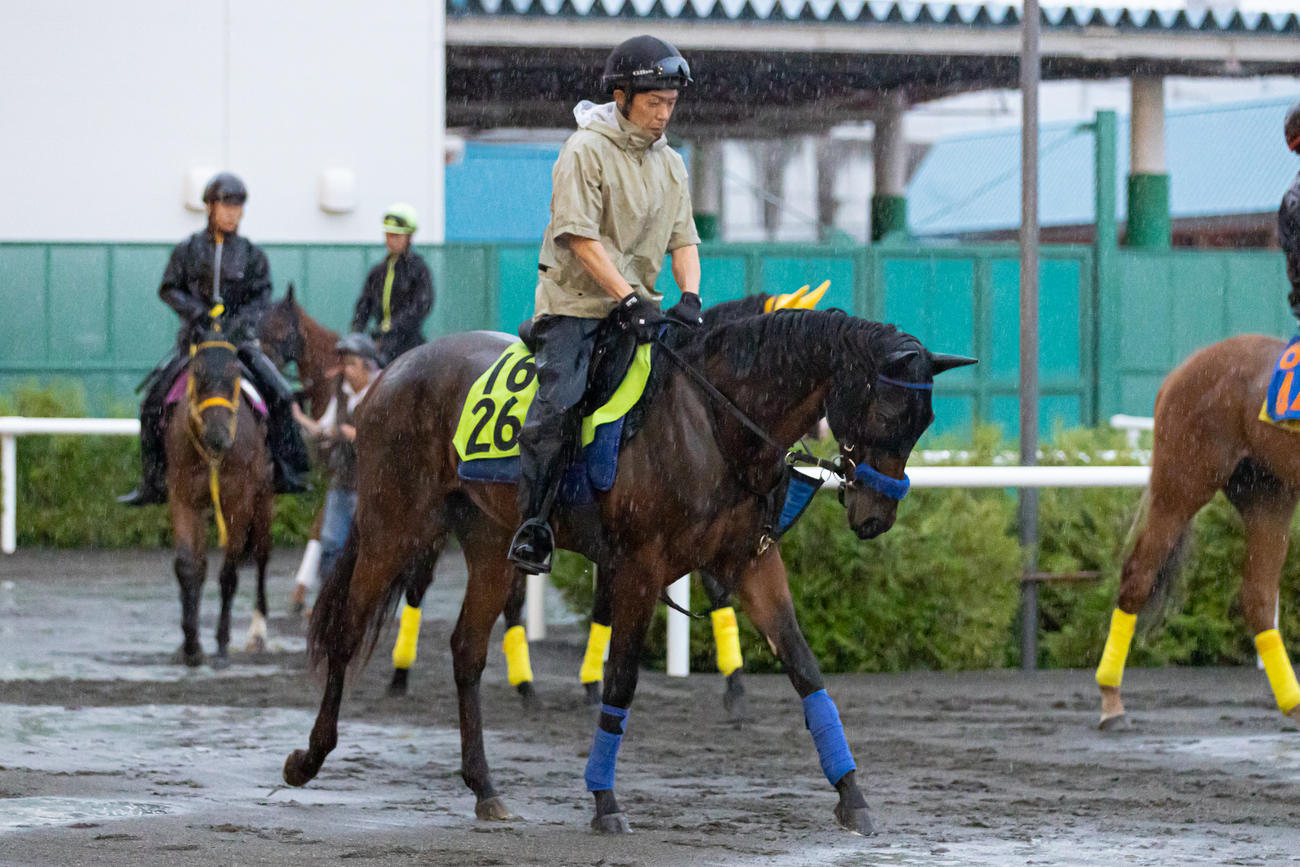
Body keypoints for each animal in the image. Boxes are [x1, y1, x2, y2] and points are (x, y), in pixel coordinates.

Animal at [165, 325, 274, 668]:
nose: (218, 436)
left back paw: (257, 634)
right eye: (197, 373)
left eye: (235, 373)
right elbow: (189, 567)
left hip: (264, 500)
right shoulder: (184, 498)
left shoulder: (238, 501)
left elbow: (228, 574)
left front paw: (222, 646)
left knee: (263, 557)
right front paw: (190, 645)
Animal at [282, 301, 973, 835]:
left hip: (488, 540)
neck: (713, 422)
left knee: (466, 650)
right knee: (346, 630)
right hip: (394, 526)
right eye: (888, 412)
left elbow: (805, 669)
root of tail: (392, 371)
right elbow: (619, 683)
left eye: (926, 421)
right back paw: (309, 758)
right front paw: (605, 801)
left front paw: (852, 795)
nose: (876, 513)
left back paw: (485, 788)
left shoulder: (752, 562)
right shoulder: (640, 568)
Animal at [1095, 334, 1300, 729]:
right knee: (1139, 575)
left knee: (1258, 597)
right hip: (1182, 483)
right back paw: (1111, 699)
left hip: (1269, 494)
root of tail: (1181, 371)